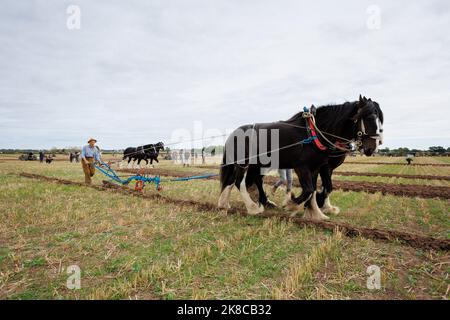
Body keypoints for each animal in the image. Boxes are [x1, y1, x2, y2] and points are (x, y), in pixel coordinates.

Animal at [218, 95, 384, 220]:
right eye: (369, 117)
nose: (373, 147)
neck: (314, 133)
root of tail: (233, 134)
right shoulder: (303, 167)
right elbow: (310, 189)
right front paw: (291, 204)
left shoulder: (316, 167)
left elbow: (315, 190)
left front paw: (316, 212)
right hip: (243, 163)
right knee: (239, 182)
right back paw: (253, 208)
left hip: (255, 164)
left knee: (237, 180)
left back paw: (225, 204)